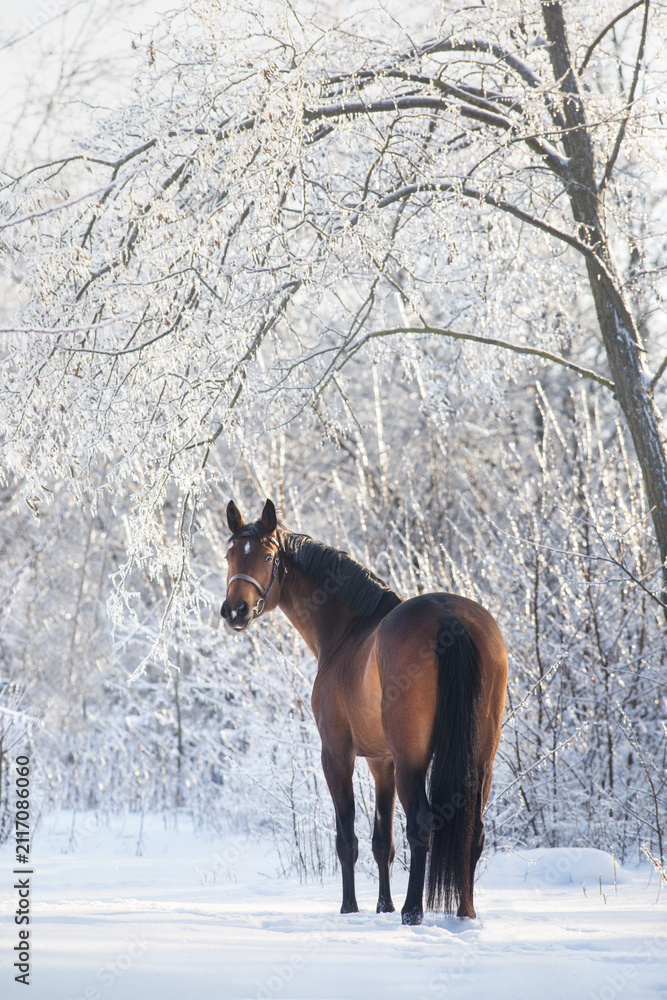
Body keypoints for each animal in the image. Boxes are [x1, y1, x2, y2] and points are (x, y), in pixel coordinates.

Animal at [221, 498, 507, 924]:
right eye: (229, 554)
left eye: (268, 556)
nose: (236, 611)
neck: (348, 632)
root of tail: (450, 619)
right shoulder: (380, 761)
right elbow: (381, 840)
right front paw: (381, 906)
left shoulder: (338, 755)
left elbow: (348, 839)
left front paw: (351, 908)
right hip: (480, 759)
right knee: (473, 831)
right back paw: (464, 913)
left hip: (411, 759)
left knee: (422, 824)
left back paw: (413, 911)